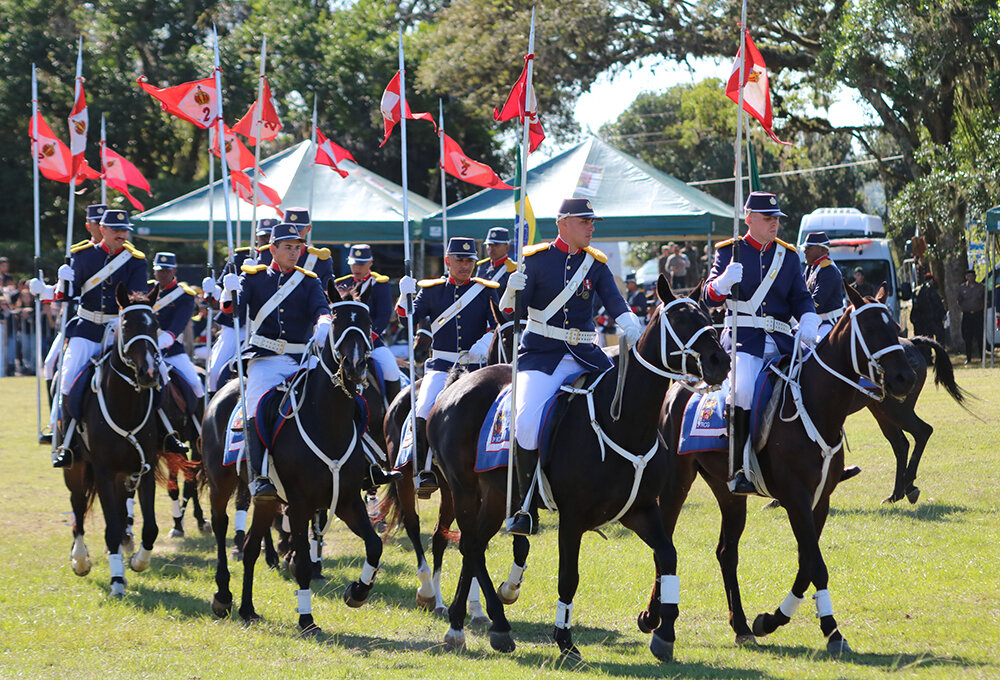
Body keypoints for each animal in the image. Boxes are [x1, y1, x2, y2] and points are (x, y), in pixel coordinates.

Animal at [62, 284, 166, 596]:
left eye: (155, 325)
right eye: (127, 325)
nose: (149, 374)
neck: (125, 406)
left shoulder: (143, 470)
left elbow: (149, 528)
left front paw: (137, 562)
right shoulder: (104, 472)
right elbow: (108, 528)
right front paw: (117, 580)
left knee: (119, 515)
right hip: (76, 469)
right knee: (78, 506)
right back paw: (80, 559)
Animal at [201, 280, 380, 632]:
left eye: (367, 324)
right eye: (336, 322)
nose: (354, 368)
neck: (328, 422)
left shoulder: (347, 499)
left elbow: (374, 545)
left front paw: (357, 591)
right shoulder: (299, 504)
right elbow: (302, 562)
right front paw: (307, 619)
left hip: (266, 499)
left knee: (250, 547)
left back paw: (248, 608)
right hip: (221, 484)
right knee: (220, 527)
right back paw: (223, 596)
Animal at [430, 274, 728, 660]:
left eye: (707, 316)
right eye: (679, 320)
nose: (721, 361)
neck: (624, 423)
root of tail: (454, 389)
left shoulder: (641, 510)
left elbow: (668, 557)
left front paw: (663, 632)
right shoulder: (572, 519)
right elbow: (568, 577)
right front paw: (565, 639)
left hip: (495, 497)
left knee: (474, 546)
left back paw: (461, 623)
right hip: (463, 490)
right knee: (470, 545)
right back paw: (495, 624)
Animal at [644, 284, 916, 656]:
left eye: (895, 326)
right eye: (873, 328)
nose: (906, 378)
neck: (815, 406)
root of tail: (678, 387)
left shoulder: (819, 501)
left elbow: (806, 564)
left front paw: (770, 620)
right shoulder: (796, 498)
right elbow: (816, 564)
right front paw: (832, 631)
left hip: (729, 493)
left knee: (726, 553)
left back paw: (741, 626)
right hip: (677, 483)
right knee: (665, 544)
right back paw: (652, 619)